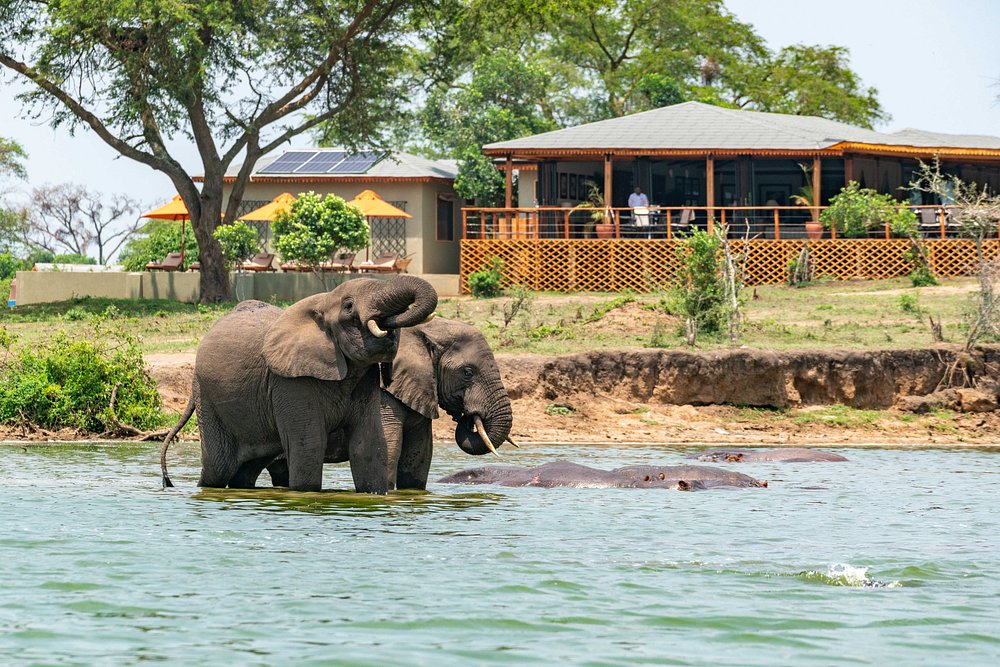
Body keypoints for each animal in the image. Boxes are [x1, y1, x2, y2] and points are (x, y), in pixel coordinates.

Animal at [159, 276, 438, 493]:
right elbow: (309, 445)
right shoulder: (289, 382)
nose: (388, 321)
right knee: (218, 467)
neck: (322, 302)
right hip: (208, 396)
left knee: (245, 470)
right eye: (349, 306)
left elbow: (368, 444)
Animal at [266, 316, 514, 490]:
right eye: (467, 372)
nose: (467, 415)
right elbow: (389, 453)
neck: (426, 330)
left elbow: (419, 460)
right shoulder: (384, 398)